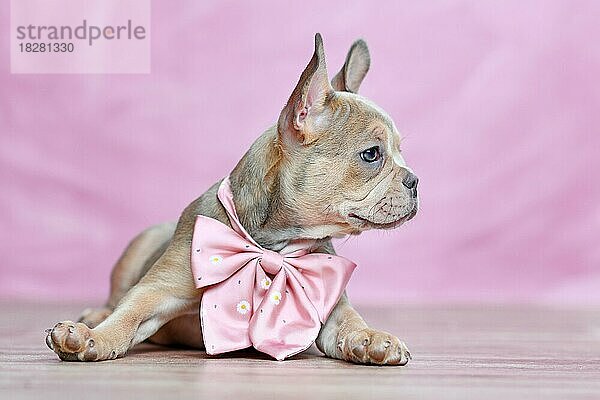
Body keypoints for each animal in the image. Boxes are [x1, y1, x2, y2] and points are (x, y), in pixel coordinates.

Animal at [45, 33, 418, 366]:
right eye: (371, 154)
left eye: (400, 152)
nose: (415, 180)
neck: (274, 245)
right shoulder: (158, 289)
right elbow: (128, 313)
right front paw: (93, 337)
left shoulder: (330, 304)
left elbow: (350, 320)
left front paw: (370, 337)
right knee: (115, 299)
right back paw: (95, 315)